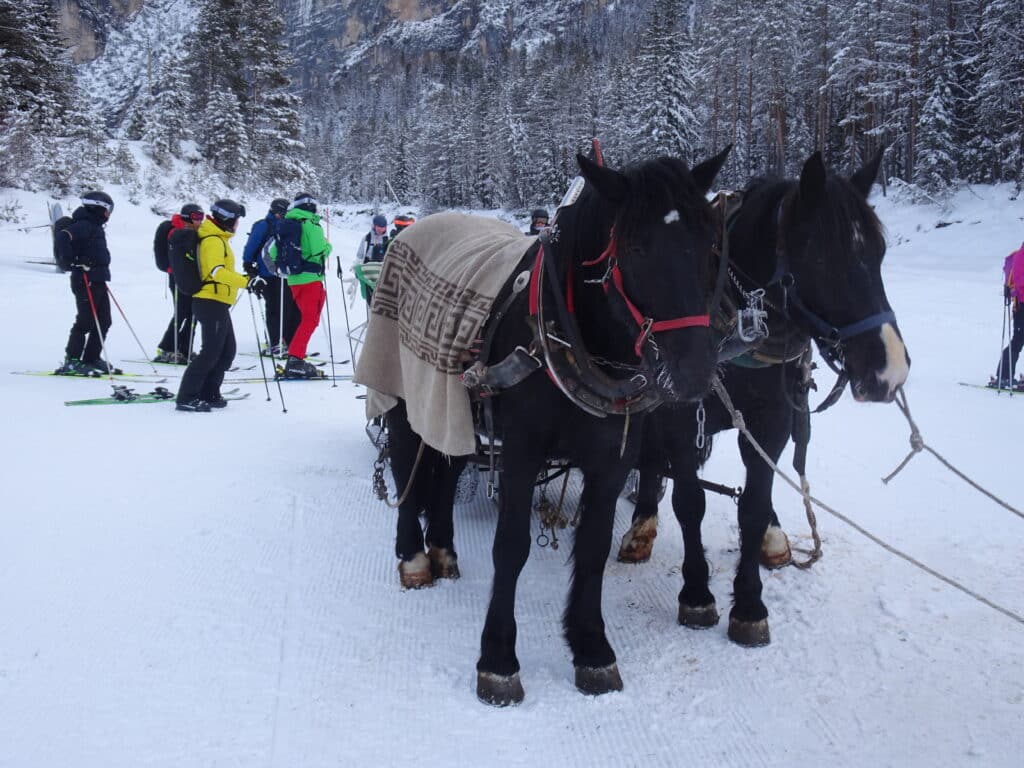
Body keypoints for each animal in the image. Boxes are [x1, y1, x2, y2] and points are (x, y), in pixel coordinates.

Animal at [382, 147, 729, 708]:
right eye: (636, 246)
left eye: (710, 242)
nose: (696, 371)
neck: (571, 341)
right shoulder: (521, 451)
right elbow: (511, 547)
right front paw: (498, 659)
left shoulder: (613, 458)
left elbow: (592, 546)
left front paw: (591, 647)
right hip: (403, 392)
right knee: (404, 462)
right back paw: (413, 555)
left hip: (457, 407)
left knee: (448, 466)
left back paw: (444, 549)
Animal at [614, 147, 913, 647]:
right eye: (820, 258)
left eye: (879, 253)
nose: (890, 370)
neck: (737, 320)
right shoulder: (681, 414)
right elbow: (689, 501)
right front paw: (697, 594)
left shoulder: (771, 418)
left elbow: (753, 504)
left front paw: (750, 603)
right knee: (652, 459)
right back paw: (642, 524)